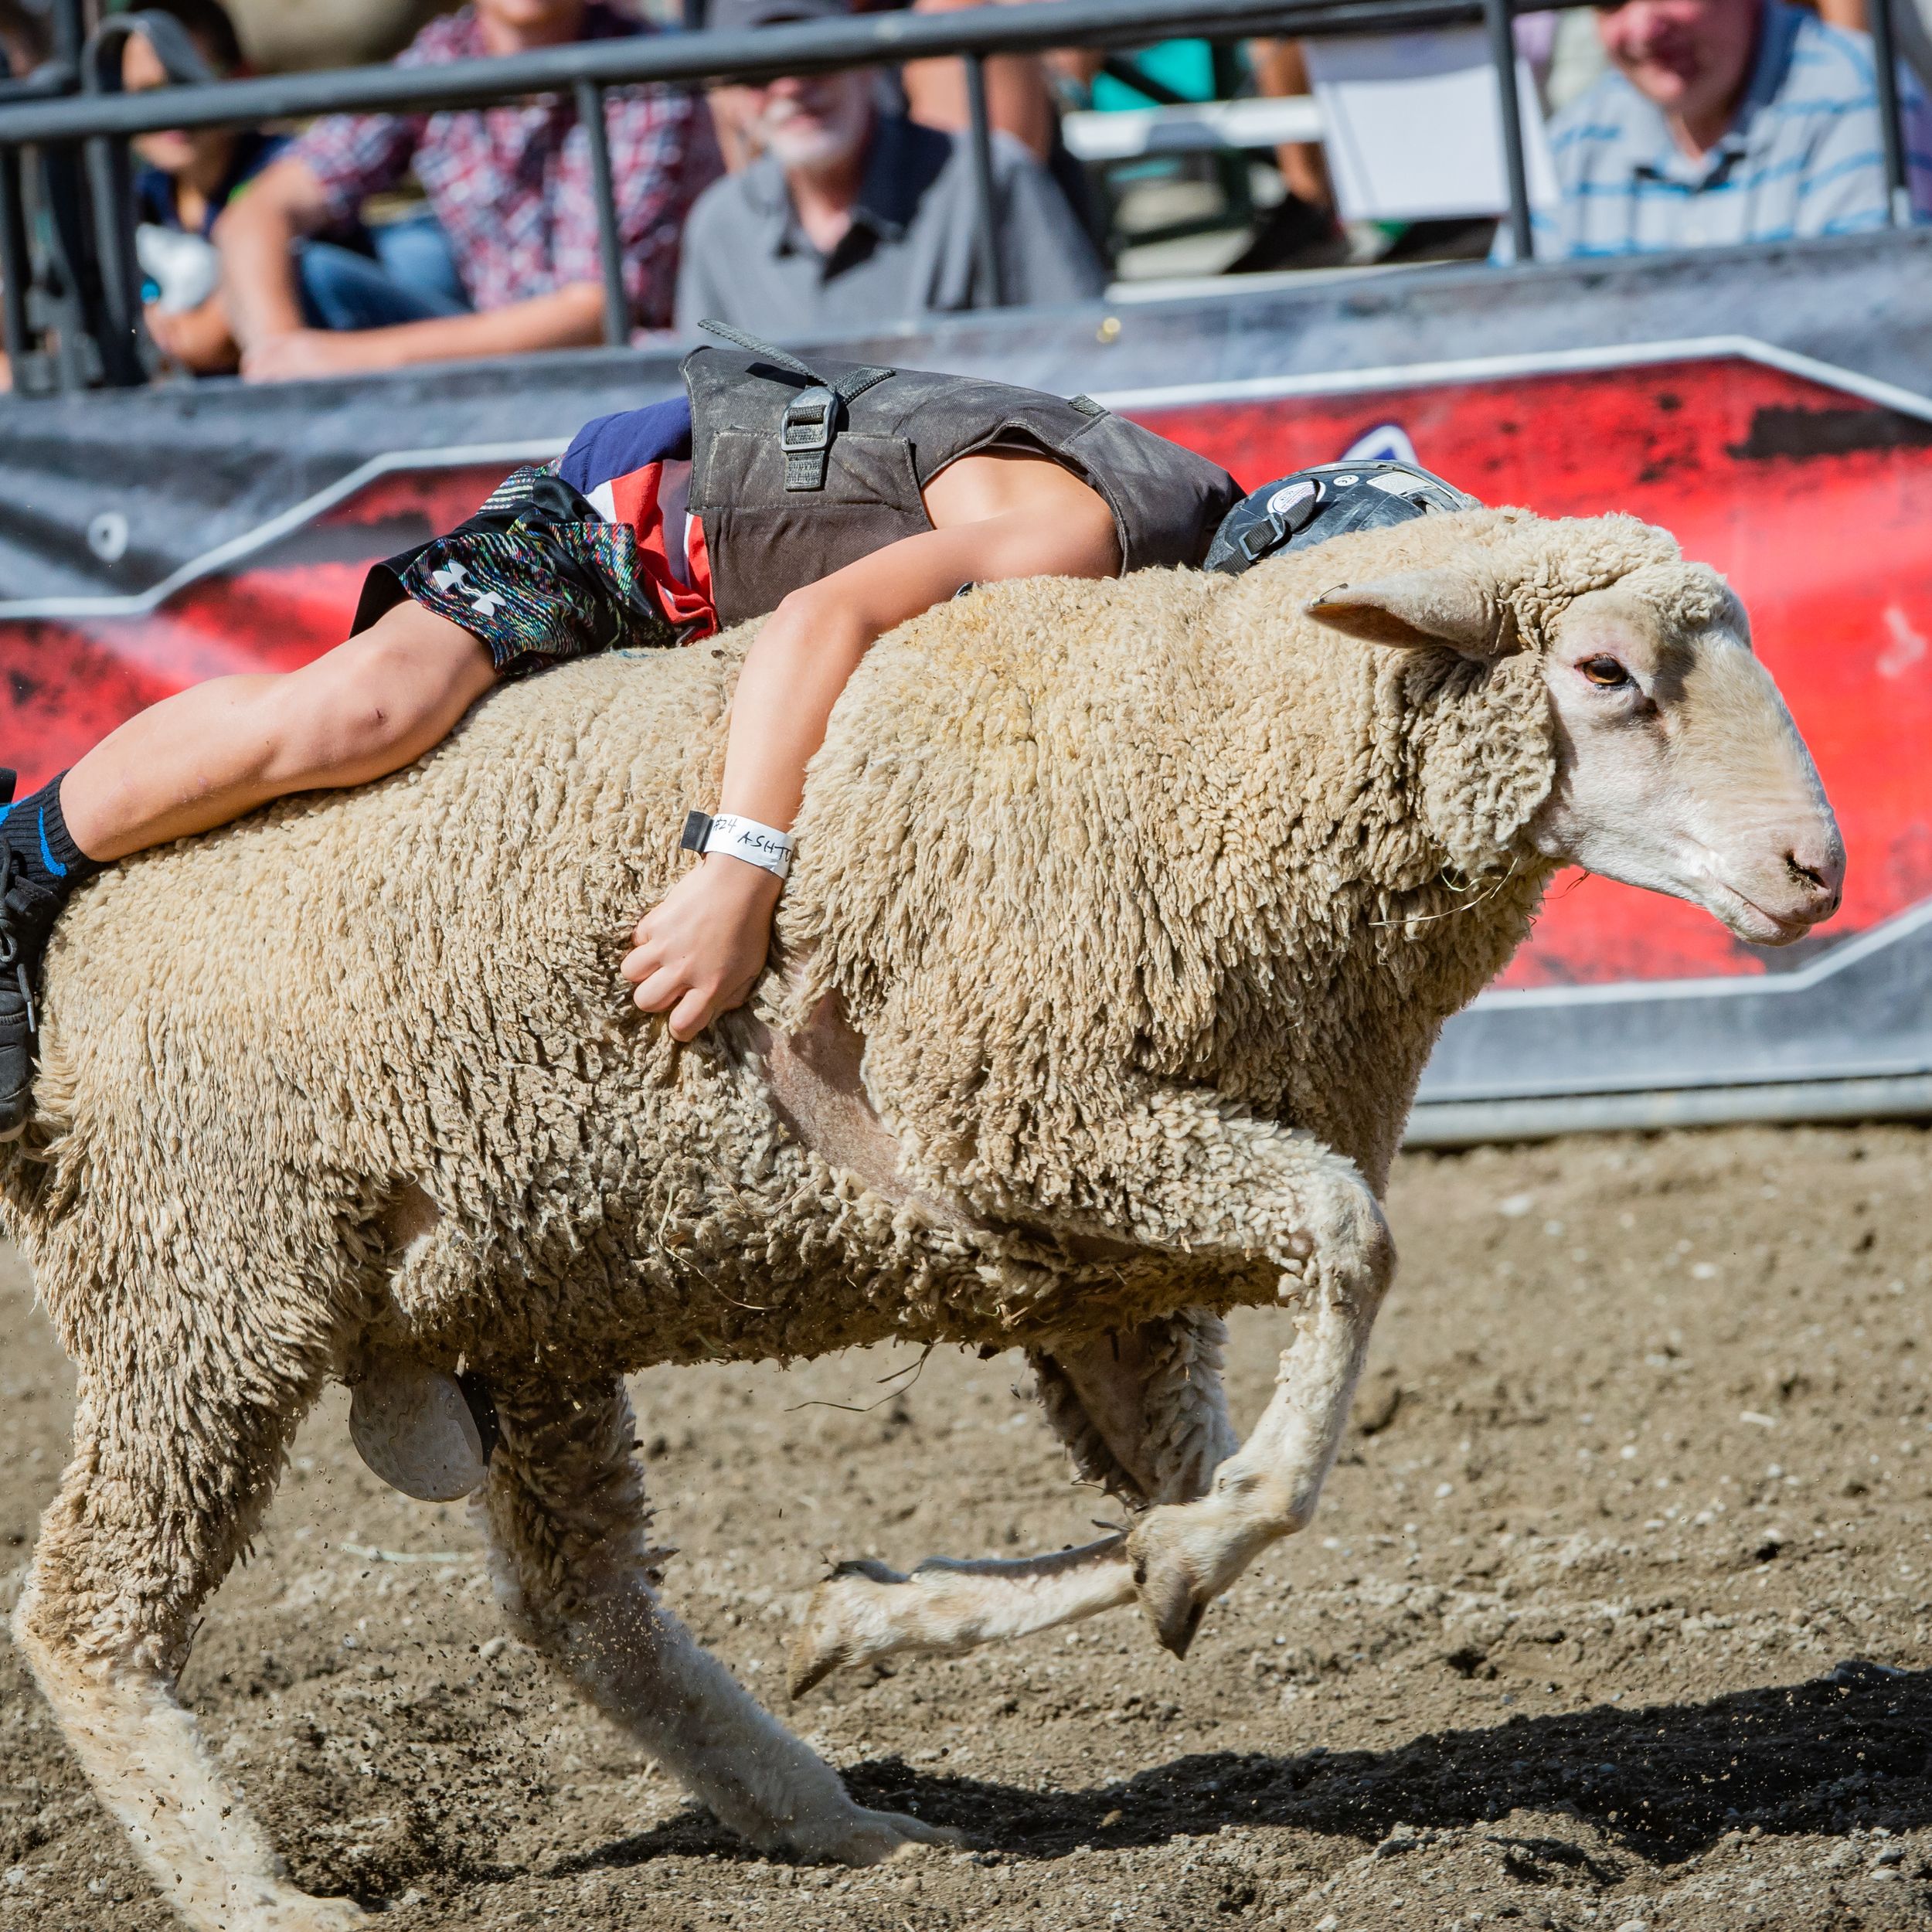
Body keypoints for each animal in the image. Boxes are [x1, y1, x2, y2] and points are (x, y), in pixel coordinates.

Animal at [3, 506, 1839, 1924]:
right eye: (1602, 674)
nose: (1818, 870)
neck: (1207, 729)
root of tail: (90, 936)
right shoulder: (1032, 1118)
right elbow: (1345, 1251)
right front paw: (1162, 1557)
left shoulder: (1113, 1267)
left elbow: (1187, 1487)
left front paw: (895, 1609)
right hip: (205, 1269)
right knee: (87, 1608)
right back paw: (253, 1891)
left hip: (522, 1302)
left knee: (582, 1605)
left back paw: (834, 1819)